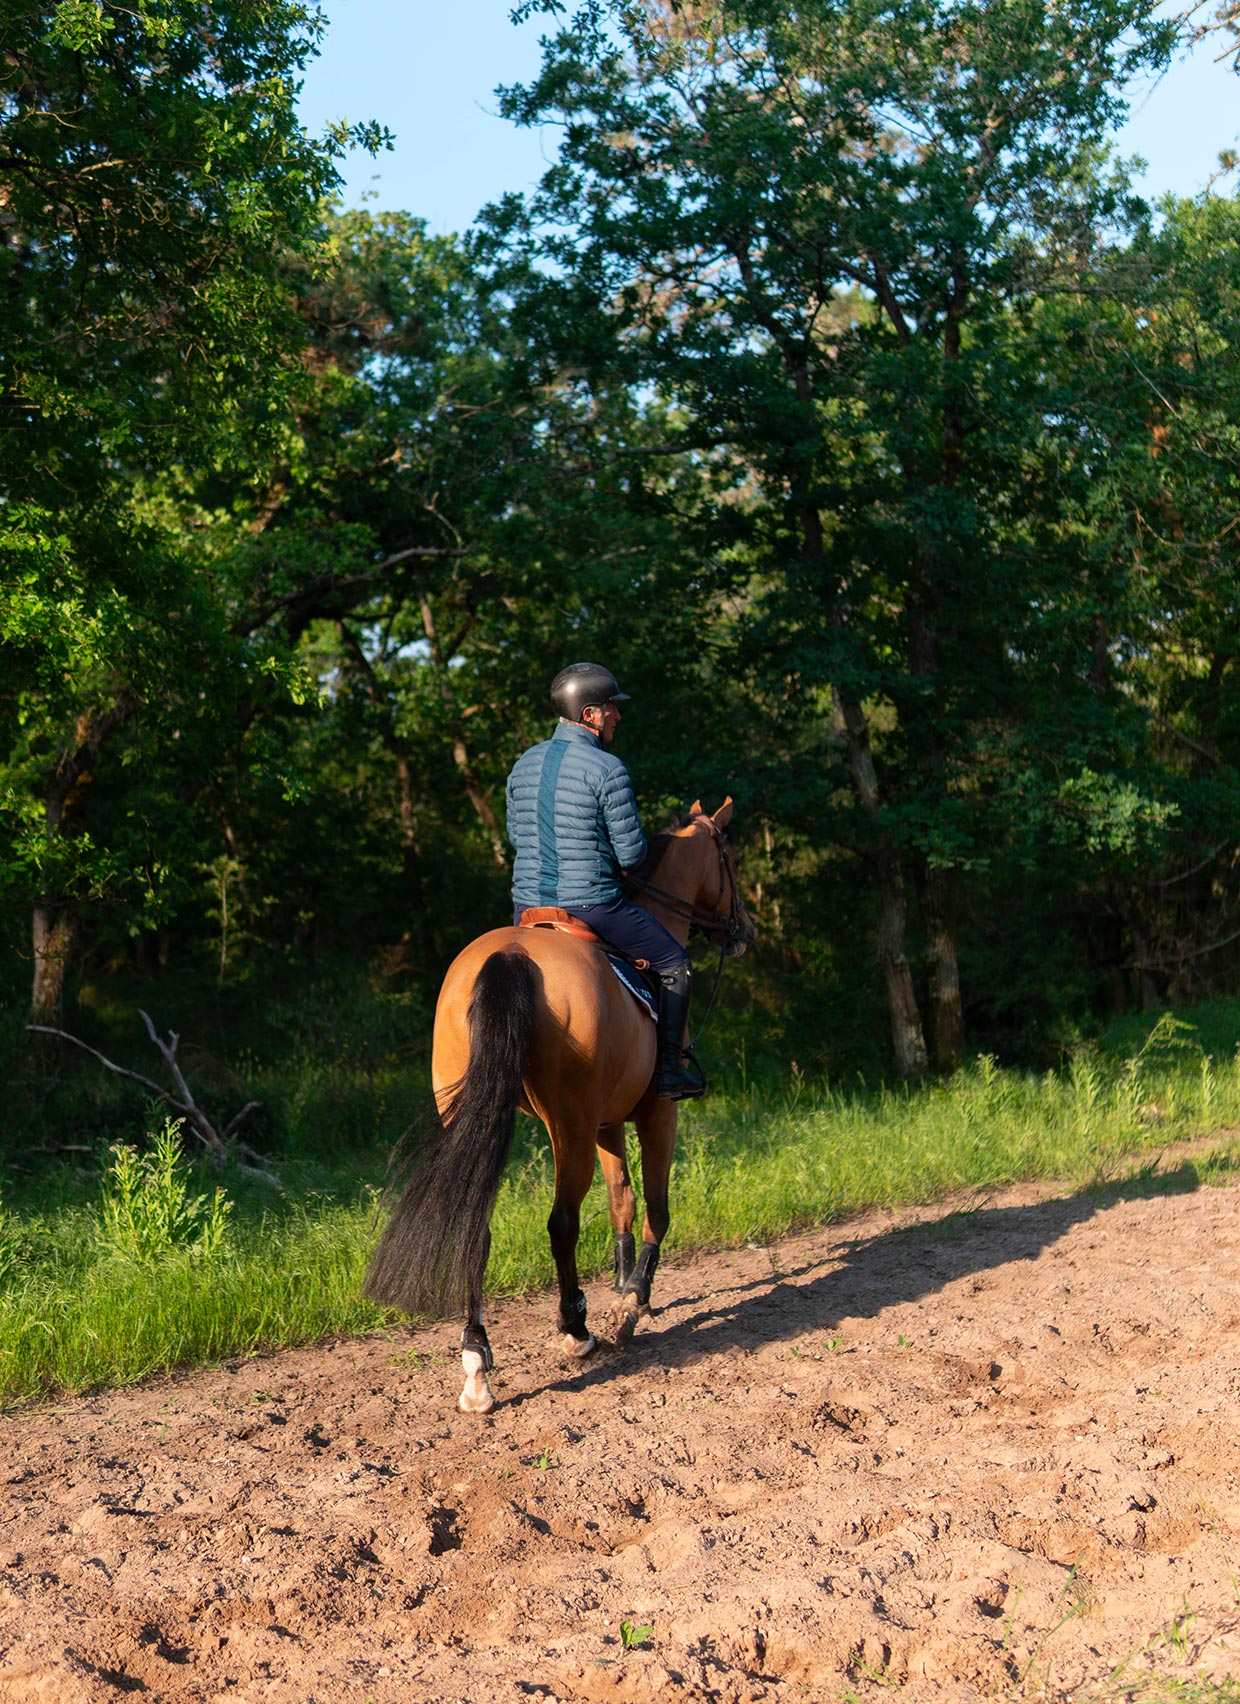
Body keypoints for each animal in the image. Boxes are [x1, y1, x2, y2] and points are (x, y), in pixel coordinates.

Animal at [362, 797, 756, 1410]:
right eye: (730, 859)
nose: (744, 929)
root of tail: (511, 955)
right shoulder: (655, 1114)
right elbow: (656, 1207)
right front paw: (632, 1301)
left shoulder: (607, 1122)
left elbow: (621, 1202)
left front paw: (623, 1286)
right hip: (569, 1127)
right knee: (561, 1223)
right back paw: (576, 1330)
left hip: (483, 1114)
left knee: (478, 1223)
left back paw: (476, 1362)